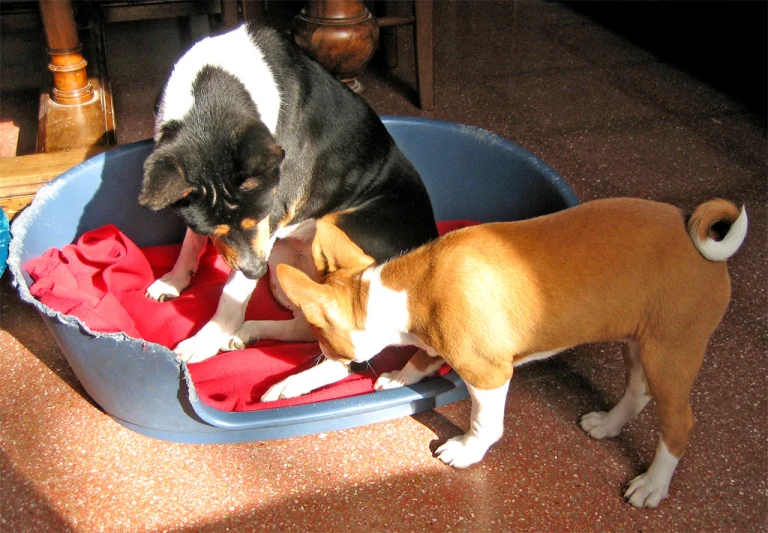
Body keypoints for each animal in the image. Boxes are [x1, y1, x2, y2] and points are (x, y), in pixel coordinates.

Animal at [139, 25, 438, 366]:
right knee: (307, 324)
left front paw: (206, 340)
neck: (210, 104)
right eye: (214, 228)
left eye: (260, 216)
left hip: (332, 226)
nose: (256, 271)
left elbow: (232, 293)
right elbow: (191, 239)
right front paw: (175, 278)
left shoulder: (272, 221)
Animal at [268, 196, 748, 508]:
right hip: (640, 341)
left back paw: (652, 485)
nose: (319, 355)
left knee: (679, 422)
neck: (410, 288)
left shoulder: (488, 374)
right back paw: (608, 424)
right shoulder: (437, 342)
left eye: (319, 337)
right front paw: (404, 375)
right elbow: (422, 355)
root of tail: (695, 236)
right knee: (639, 391)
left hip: (671, 351)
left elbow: (484, 423)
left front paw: (467, 450)